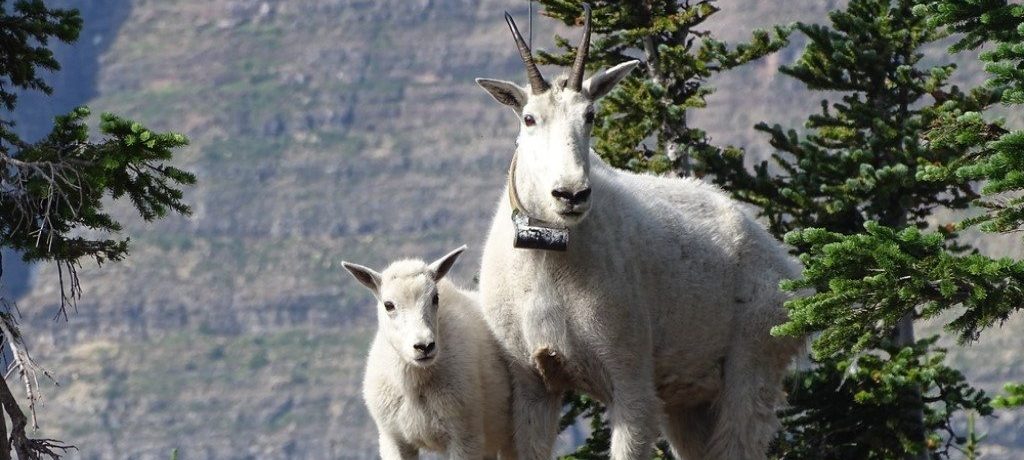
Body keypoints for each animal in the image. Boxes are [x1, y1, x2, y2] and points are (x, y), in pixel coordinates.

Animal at [475, 7, 802, 458]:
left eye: (590, 116)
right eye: (529, 118)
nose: (571, 194)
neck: (549, 253)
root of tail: (788, 268)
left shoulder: (629, 376)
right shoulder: (532, 384)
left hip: (755, 359)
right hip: (689, 399)